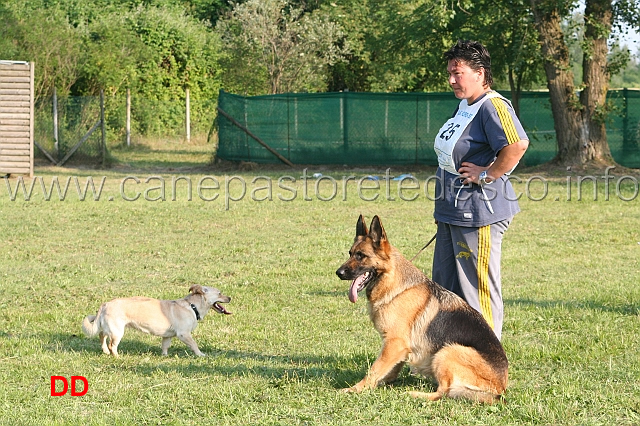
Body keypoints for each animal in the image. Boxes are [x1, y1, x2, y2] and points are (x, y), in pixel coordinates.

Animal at [82, 284, 231, 358]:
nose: (230, 297)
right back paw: (116, 356)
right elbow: (194, 344)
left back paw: (105, 351)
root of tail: (105, 304)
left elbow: (165, 346)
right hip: (117, 331)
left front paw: (164, 356)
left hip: (109, 328)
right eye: (219, 293)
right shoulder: (184, 334)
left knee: (101, 335)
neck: (192, 306)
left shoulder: (167, 336)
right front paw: (200, 354)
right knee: (112, 344)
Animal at [336, 216, 510, 402]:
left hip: (447, 351)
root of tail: (501, 387)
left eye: (361, 256)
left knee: (444, 392)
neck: (394, 284)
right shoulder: (399, 347)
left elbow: (374, 369)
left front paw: (355, 389)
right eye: (350, 253)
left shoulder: (394, 343)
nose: (338, 272)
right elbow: (391, 368)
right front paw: (384, 382)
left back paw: (415, 394)